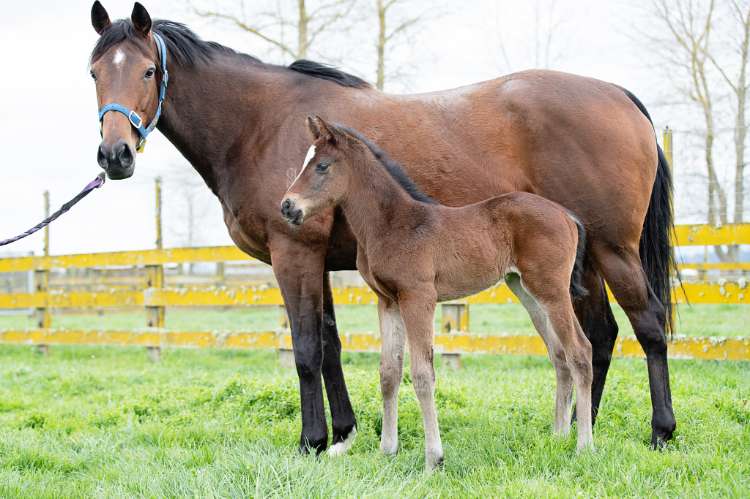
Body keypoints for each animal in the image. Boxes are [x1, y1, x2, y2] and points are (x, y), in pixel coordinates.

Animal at [281, 116, 595, 468]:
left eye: (322, 166)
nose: (287, 206)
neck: (392, 224)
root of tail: (567, 215)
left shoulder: (418, 297)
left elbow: (422, 374)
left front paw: (434, 459)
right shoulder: (387, 301)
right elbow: (389, 372)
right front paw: (387, 450)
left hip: (552, 289)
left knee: (580, 351)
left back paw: (584, 445)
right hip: (527, 290)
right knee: (559, 354)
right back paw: (558, 437)